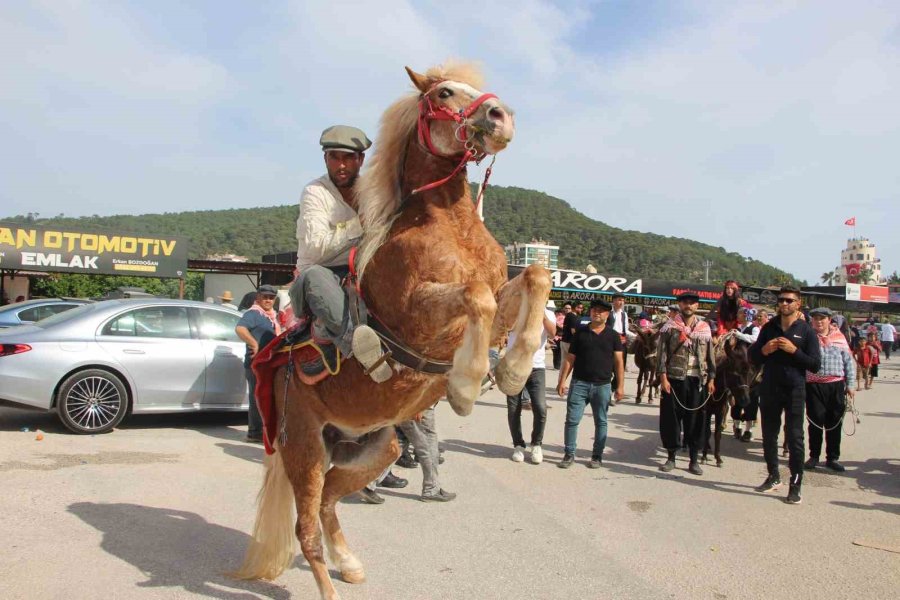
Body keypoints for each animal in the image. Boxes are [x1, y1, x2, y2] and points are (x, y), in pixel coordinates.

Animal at [232, 62, 552, 600]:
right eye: (444, 93)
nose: (500, 115)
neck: (447, 224)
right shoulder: (417, 312)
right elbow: (476, 296)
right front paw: (465, 385)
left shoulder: (502, 291)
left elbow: (535, 276)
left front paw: (511, 370)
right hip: (304, 449)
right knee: (306, 529)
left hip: (377, 447)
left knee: (328, 502)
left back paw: (350, 562)